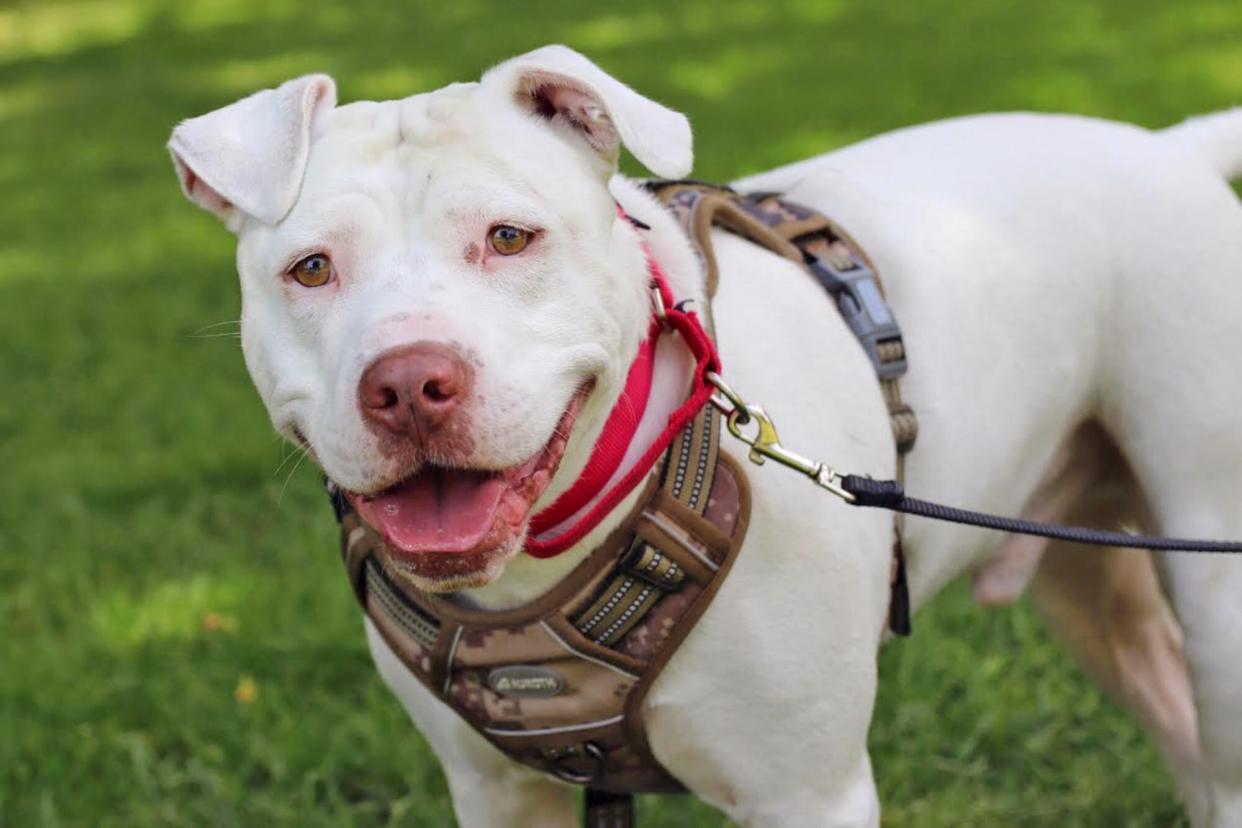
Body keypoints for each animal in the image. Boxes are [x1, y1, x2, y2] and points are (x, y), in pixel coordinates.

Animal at [170, 45, 1242, 828]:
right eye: (311, 269)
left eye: (511, 238)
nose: (406, 384)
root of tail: (1170, 146)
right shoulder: (498, 795)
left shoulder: (807, 795)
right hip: (1084, 571)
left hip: (1215, 583)